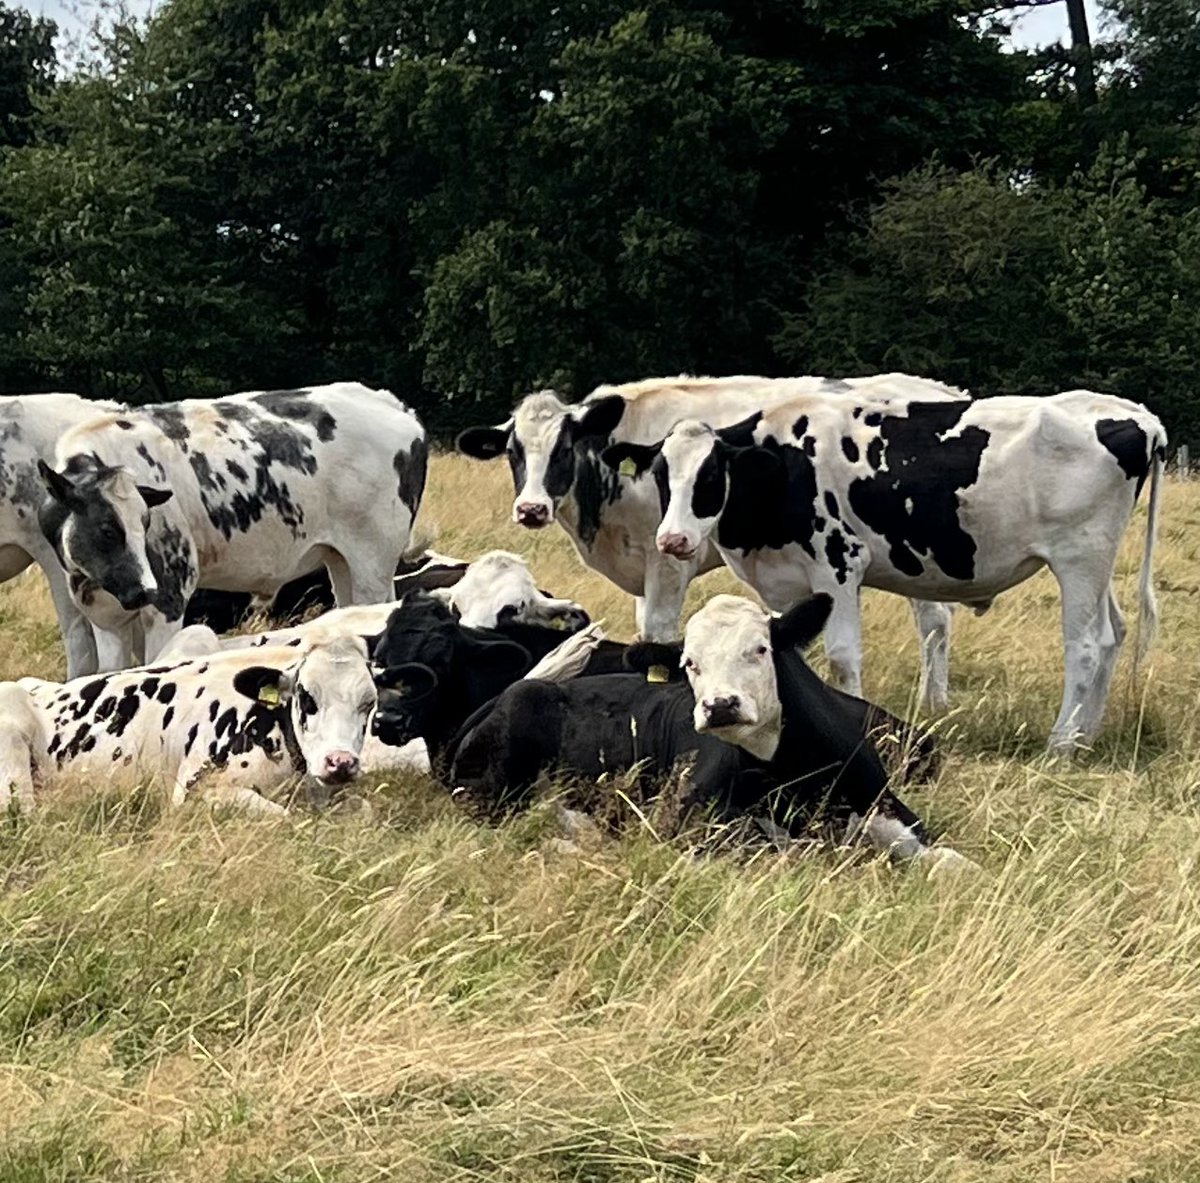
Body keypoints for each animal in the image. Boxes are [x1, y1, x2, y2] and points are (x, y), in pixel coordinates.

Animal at [37, 382, 427, 671]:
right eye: (106, 528)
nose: (144, 590)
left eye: (146, 523)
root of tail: (386, 400)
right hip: (341, 560)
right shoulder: (105, 618)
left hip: (373, 563)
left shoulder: (170, 596)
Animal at [447, 594, 965, 868]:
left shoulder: (888, 807)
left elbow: (952, 863)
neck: (795, 775)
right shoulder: (687, 818)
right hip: (495, 784)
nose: (719, 706)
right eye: (689, 663)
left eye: (760, 649)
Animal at [456, 373, 967, 707]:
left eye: (563, 449)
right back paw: (934, 702)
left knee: (934, 623)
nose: (531, 509)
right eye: (513, 452)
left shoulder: (667, 559)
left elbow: (658, 633)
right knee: (935, 621)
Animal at [602, 390, 1166, 752]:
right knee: (1113, 634)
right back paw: (1086, 735)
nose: (672, 540)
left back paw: (1061, 743)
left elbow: (842, 657)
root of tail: (1134, 413)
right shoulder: (789, 582)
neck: (783, 466)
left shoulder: (839, 564)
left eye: (712, 474)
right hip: (1097, 562)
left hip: (1079, 557)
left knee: (1086, 645)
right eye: (660, 475)